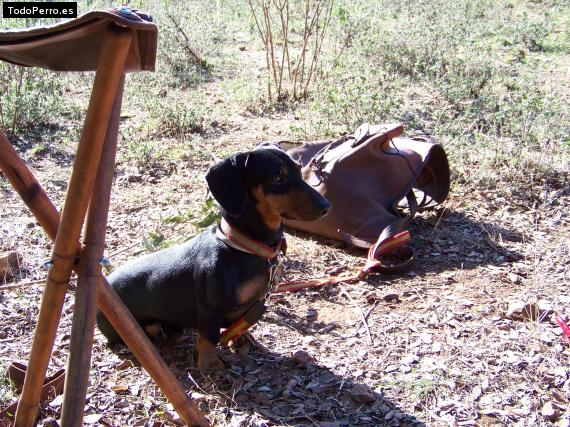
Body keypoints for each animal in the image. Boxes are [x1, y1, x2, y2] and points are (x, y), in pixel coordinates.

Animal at [96, 146, 328, 372]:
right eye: (278, 178)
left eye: (299, 170)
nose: (326, 205)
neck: (242, 246)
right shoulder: (210, 309)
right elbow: (209, 337)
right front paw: (209, 364)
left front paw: (240, 337)